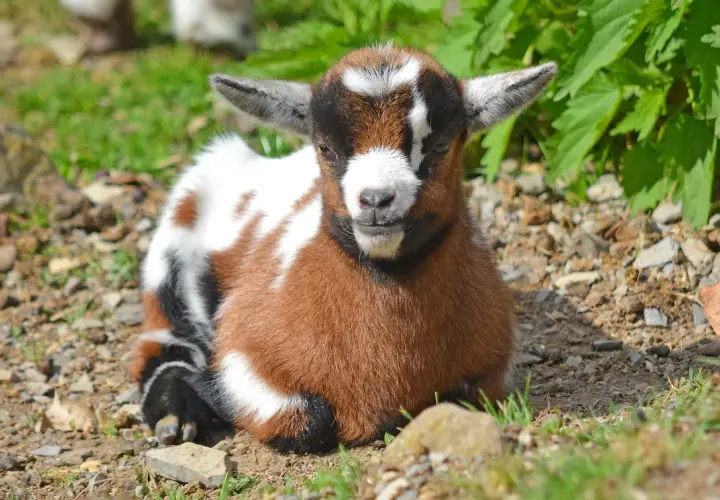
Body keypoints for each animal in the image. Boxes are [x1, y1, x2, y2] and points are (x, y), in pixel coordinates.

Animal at [131, 43, 557, 453]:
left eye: (439, 146)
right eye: (325, 148)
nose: (375, 199)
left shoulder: (493, 369)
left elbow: (462, 395)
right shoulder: (243, 354)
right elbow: (309, 419)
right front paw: (207, 393)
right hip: (175, 244)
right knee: (163, 341)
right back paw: (174, 415)